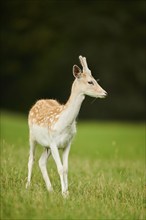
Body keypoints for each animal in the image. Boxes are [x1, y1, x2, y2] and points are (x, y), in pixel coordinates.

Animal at [25, 55, 106, 198]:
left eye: (96, 80)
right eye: (90, 82)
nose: (105, 93)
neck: (64, 123)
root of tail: (38, 102)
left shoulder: (67, 143)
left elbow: (66, 168)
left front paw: (66, 192)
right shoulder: (53, 142)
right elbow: (61, 168)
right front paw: (64, 194)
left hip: (46, 146)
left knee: (41, 161)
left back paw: (50, 189)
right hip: (32, 136)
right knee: (31, 159)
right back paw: (27, 186)